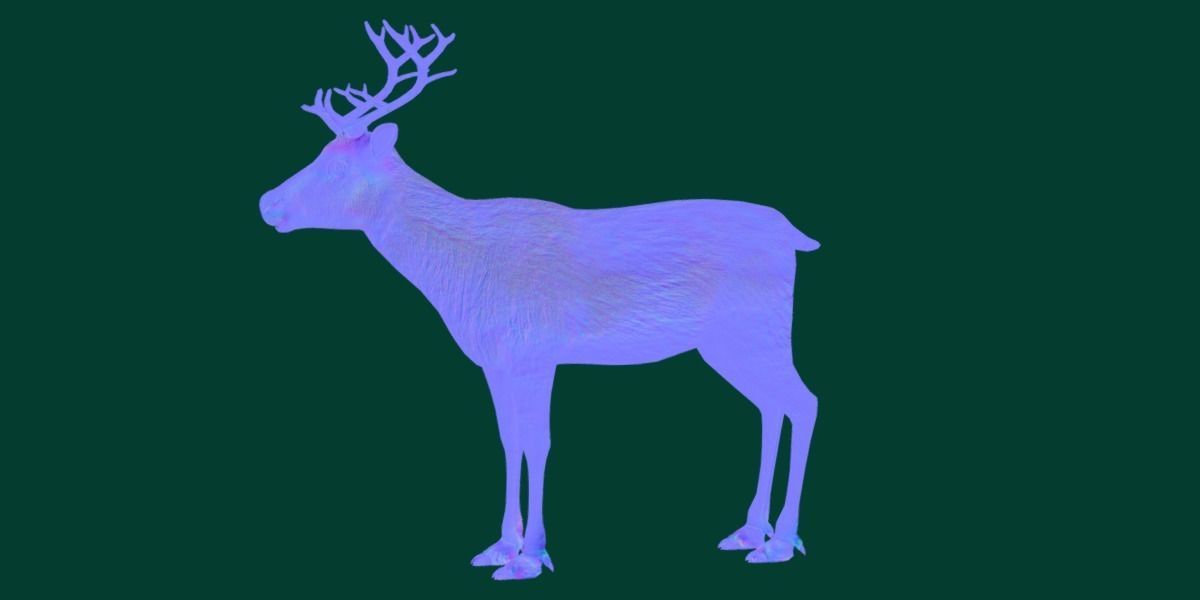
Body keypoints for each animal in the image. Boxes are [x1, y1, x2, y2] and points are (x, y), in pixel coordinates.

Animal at [259, 21, 821, 581]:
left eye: (336, 171)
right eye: (318, 155)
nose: (267, 202)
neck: (462, 274)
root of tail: (794, 236)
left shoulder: (535, 350)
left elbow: (540, 441)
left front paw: (531, 556)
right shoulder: (496, 360)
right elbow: (509, 440)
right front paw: (500, 546)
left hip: (757, 329)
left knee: (803, 401)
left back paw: (779, 541)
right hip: (728, 343)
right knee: (771, 407)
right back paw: (749, 531)